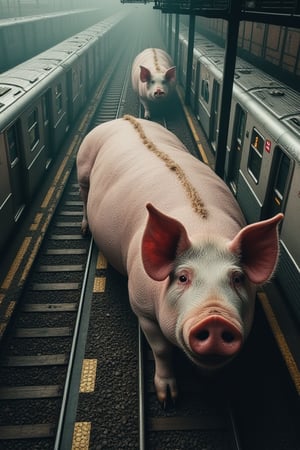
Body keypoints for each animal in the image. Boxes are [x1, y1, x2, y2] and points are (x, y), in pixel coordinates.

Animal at [76, 116, 282, 404]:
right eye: (183, 277)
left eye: (237, 278)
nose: (215, 319)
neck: (205, 232)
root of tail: (125, 118)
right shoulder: (141, 306)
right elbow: (161, 350)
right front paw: (168, 399)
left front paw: (208, 382)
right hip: (83, 166)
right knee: (83, 196)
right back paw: (85, 230)